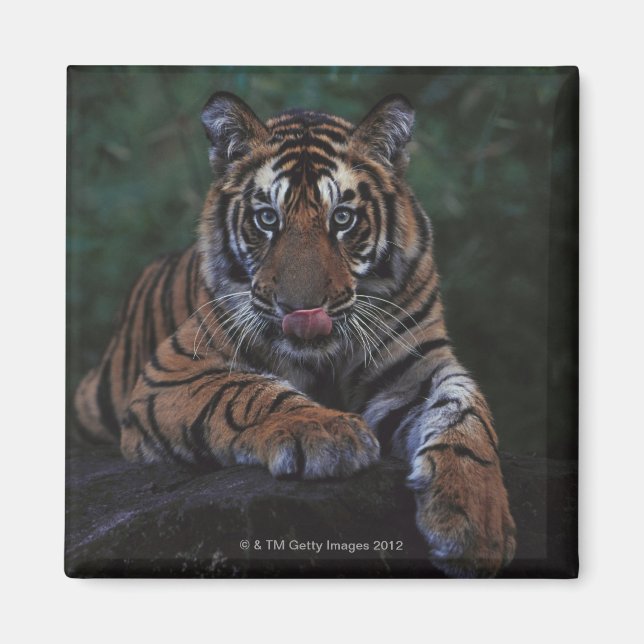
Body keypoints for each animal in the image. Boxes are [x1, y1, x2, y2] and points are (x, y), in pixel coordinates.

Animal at [74, 91, 516, 577]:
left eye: (342, 218)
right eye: (268, 218)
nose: (302, 310)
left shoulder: (414, 368)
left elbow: (465, 413)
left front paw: (475, 519)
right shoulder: (173, 369)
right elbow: (245, 391)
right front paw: (327, 432)